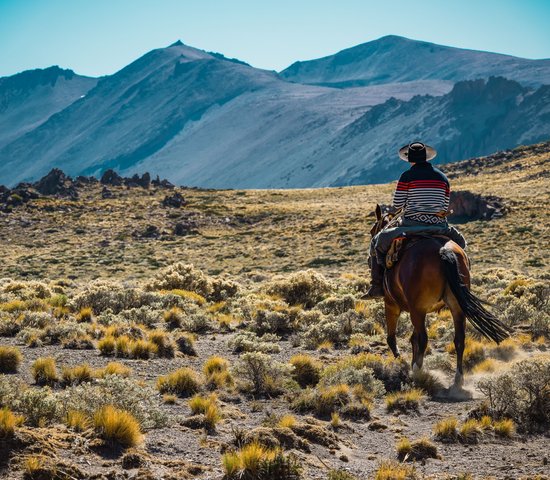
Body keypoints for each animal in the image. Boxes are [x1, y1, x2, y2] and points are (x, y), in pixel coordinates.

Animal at [374, 202, 512, 386]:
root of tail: (443, 251)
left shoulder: (391, 304)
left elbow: (392, 338)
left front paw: (403, 362)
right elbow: (411, 338)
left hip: (417, 309)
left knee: (423, 338)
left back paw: (418, 372)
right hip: (456, 306)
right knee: (459, 339)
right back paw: (458, 378)